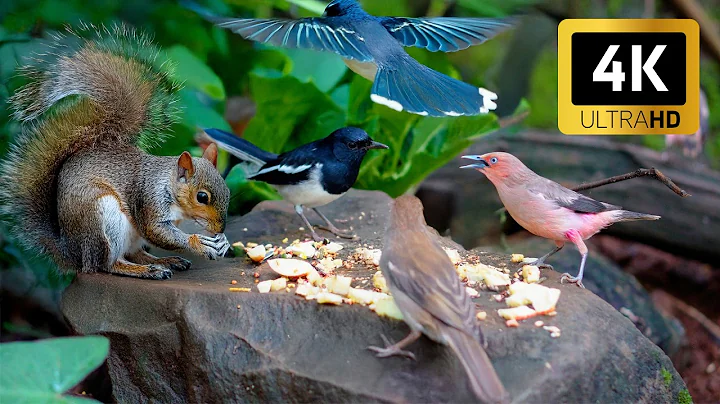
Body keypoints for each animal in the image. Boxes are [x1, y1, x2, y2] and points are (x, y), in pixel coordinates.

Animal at [0, 24, 231, 280]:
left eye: (228, 191)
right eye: (202, 197)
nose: (220, 227)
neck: (167, 184)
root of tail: (73, 253)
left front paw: (221, 242)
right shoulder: (148, 200)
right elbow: (156, 231)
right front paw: (199, 243)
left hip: (127, 236)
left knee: (135, 253)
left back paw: (164, 261)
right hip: (103, 218)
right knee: (106, 264)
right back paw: (144, 270)